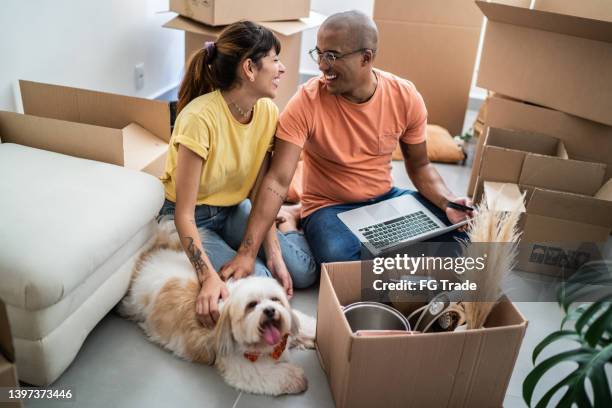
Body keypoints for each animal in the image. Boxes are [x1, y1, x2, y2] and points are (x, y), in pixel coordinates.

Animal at [122, 226, 318, 396]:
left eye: (275, 299)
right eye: (252, 305)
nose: (270, 311)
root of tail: (152, 255)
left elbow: (306, 326)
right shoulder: (244, 368)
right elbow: (275, 375)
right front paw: (298, 378)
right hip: (135, 303)